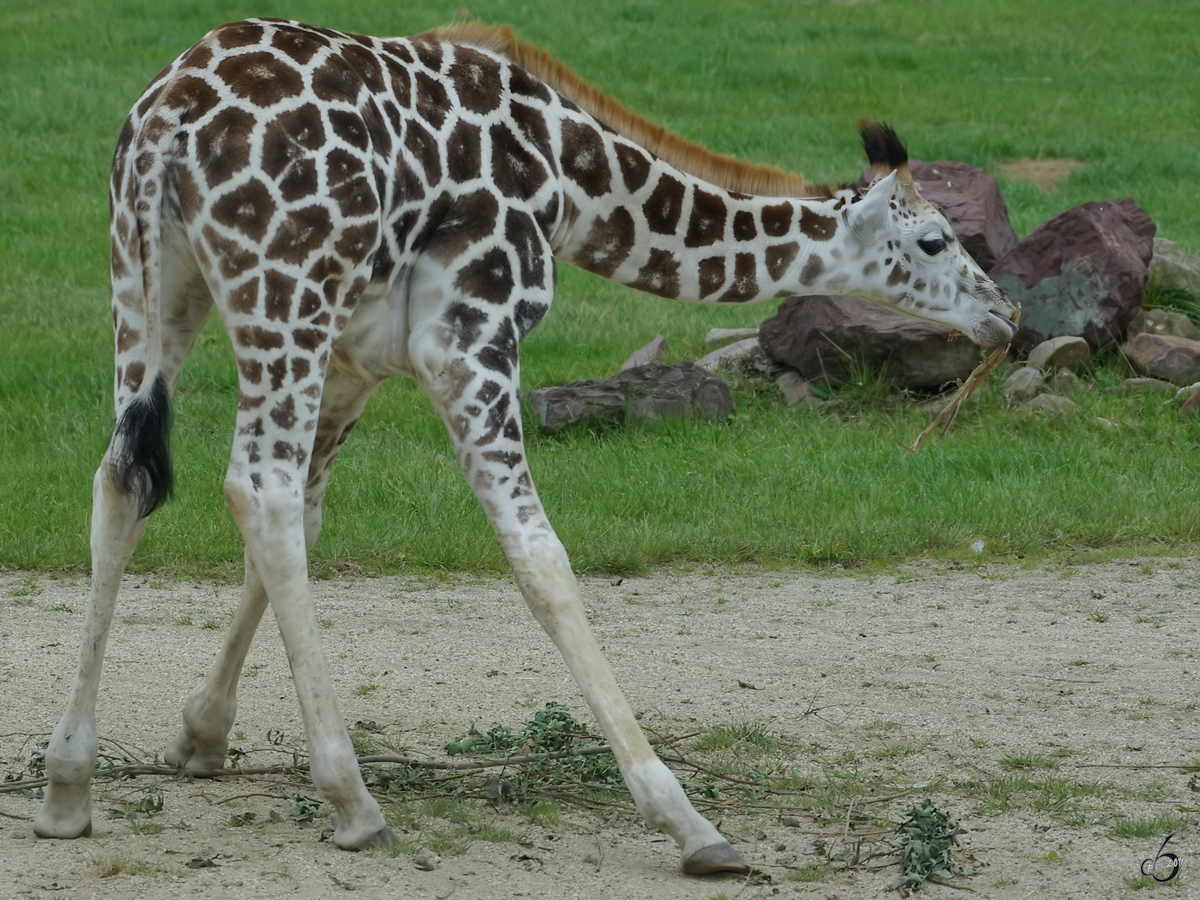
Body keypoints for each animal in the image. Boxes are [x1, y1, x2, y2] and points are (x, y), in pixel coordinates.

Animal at [35, 19, 1012, 883]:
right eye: (933, 239)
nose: (1002, 313)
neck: (575, 181)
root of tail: (170, 121)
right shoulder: (468, 339)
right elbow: (539, 558)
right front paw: (687, 821)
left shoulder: (358, 361)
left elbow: (306, 528)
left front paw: (200, 734)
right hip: (282, 299)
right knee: (255, 488)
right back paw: (354, 800)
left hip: (152, 287)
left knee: (126, 484)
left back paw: (66, 786)